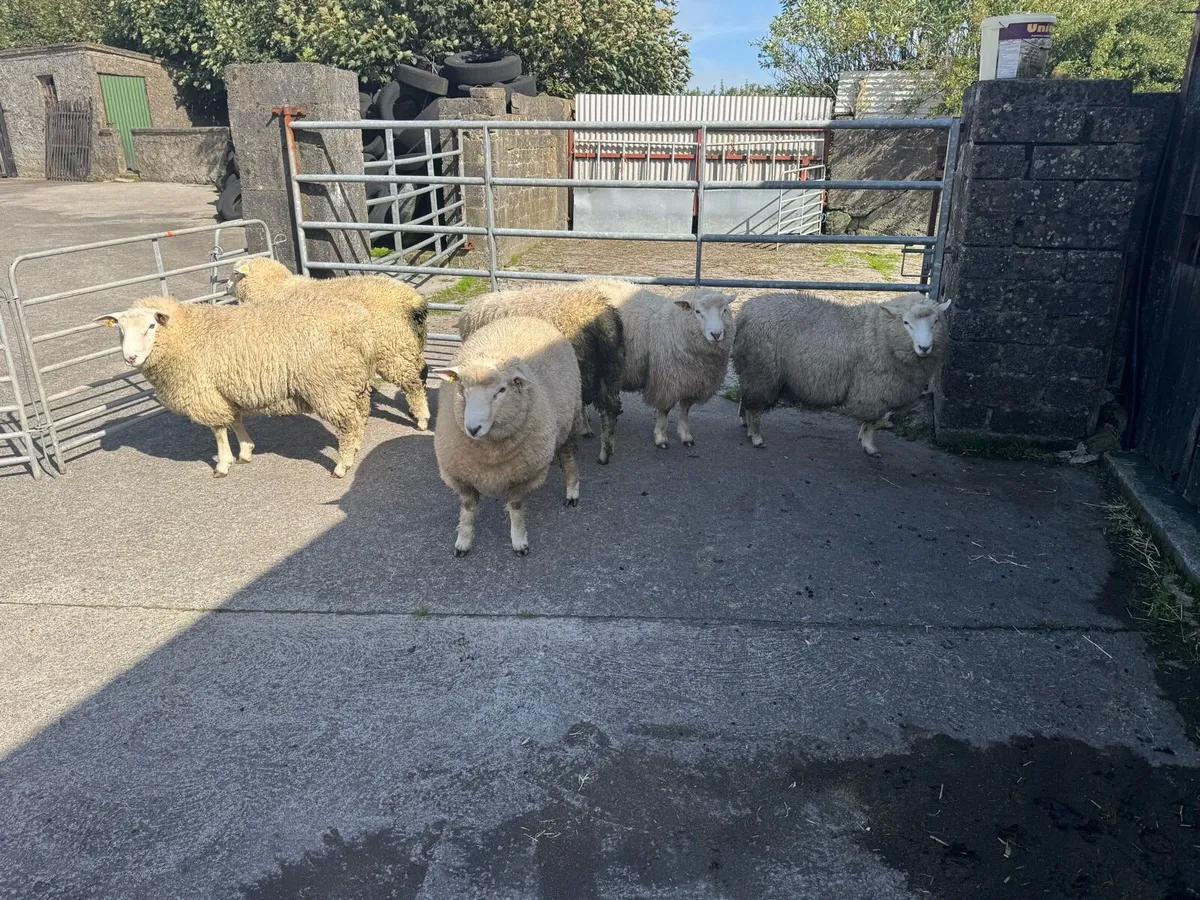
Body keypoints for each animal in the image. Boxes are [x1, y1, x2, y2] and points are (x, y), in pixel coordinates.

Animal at [96, 296, 374, 478]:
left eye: (151, 325)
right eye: (120, 329)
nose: (130, 357)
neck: (183, 333)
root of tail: (360, 325)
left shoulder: (205, 393)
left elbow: (218, 430)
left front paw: (223, 464)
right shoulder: (225, 391)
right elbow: (235, 421)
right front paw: (245, 451)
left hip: (329, 385)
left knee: (348, 424)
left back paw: (342, 466)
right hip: (353, 381)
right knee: (359, 415)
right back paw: (355, 448)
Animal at [230, 257, 431, 431]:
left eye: (234, 273)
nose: (226, 285)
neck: (275, 287)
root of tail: (412, 302)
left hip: (392, 349)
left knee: (413, 383)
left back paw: (422, 419)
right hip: (409, 344)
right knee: (422, 372)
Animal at [432, 316, 582, 557]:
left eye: (501, 390)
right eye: (462, 388)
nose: (473, 428)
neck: (491, 454)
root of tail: (527, 317)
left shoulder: (525, 476)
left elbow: (515, 508)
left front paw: (519, 541)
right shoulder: (457, 475)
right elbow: (468, 509)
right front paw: (463, 541)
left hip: (569, 420)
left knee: (567, 457)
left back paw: (572, 492)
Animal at [603, 283, 735, 449]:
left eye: (725, 310)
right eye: (697, 311)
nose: (716, 334)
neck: (674, 324)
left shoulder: (692, 380)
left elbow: (685, 408)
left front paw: (686, 435)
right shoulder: (666, 380)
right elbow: (665, 410)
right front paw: (661, 437)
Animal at [731, 291, 952, 456]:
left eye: (935, 322)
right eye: (906, 323)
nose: (925, 348)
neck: (878, 332)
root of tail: (745, 312)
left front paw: (862, 438)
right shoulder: (873, 389)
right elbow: (871, 421)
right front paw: (869, 446)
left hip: (751, 368)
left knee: (745, 397)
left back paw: (746, 424)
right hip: (762, 370)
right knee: (754, 405)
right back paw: (756, 436)